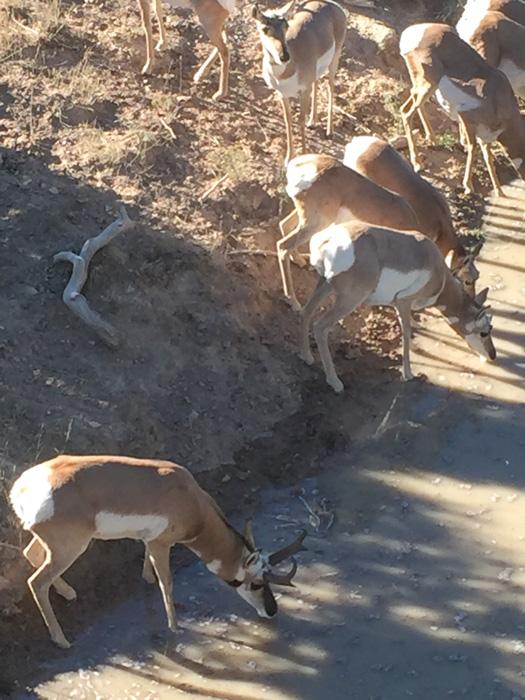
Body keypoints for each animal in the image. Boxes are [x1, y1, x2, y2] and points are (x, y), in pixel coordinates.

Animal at [9, 455, 306, 648]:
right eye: (256, 583)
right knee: (37, 582)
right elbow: (168, 583)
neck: (192, 502)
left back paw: (69, 593)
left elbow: (149, 566)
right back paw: (61, 640)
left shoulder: (150, 542)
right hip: (71, 548)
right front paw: (174, 626)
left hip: (53, 545)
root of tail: (23, 488)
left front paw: (147, 579)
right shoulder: (162, 544)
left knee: (31, 555)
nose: (272, 611)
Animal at [252, 0, 347, 164]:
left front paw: (303, 155)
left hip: (334, 61)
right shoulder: (282, 94)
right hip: (317, 72)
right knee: (317, 83)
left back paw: (329, 131)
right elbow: (288, 120)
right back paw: (313, 122)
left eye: (286, 26)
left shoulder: (303, 91)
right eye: (265, 29)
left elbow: (300, 120)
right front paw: (289, 158)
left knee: (330, 87)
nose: (284, 56)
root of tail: (332, 5)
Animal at [277, 153, 419, 310]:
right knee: (283, 246)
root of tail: (298, 164)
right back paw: (293, 301)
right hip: (315, 224)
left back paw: (299, 261)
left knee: (284, 225)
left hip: (308, 221)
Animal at [300, 221, 496, 393]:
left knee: (306, 311)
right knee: (320, 327)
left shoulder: (398, 305)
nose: (493, 355)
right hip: (349, 299)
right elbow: (407, 332)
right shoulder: (403, 302)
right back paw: (335, 382)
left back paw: (306, 357)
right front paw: (408, 373)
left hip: (325, 284)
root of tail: (329, 238)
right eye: (484, 332)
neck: (439, 275)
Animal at [399, 23, 525, 195]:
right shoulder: (466, 118)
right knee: (406, 112)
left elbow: (488, 158)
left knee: (414, 102)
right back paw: (418, 164)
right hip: (428, 85)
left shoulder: (485, 136)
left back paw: (432, 139)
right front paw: (468, 186)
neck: (498, 98)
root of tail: (413, 31)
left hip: (424, 87)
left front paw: (499, 192)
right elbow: (472, 148)